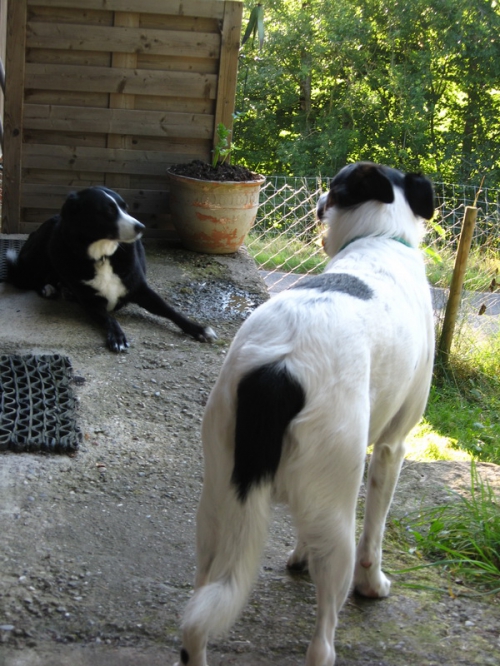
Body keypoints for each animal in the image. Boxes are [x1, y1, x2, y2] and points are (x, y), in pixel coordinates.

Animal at [6, 184, 215, 350]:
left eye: (126, 207)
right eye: (108, 211)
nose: (141, 227)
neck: (103, 256)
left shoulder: (141, 290)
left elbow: (170, 310)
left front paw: (198, 329)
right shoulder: (91, 302)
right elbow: (109, 318)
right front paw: (117, 336)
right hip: (41, 252)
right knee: (25, 279)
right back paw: (48, 287)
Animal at [178, 162, 436, 664]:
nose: (318, 196)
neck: (382, 235)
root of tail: (280, 369)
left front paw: (298, 554)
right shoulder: (392, 448)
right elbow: (375, 533)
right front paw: (373, 584)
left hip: (216, 507)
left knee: (198, 614)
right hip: (336, 516)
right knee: (322, 639)